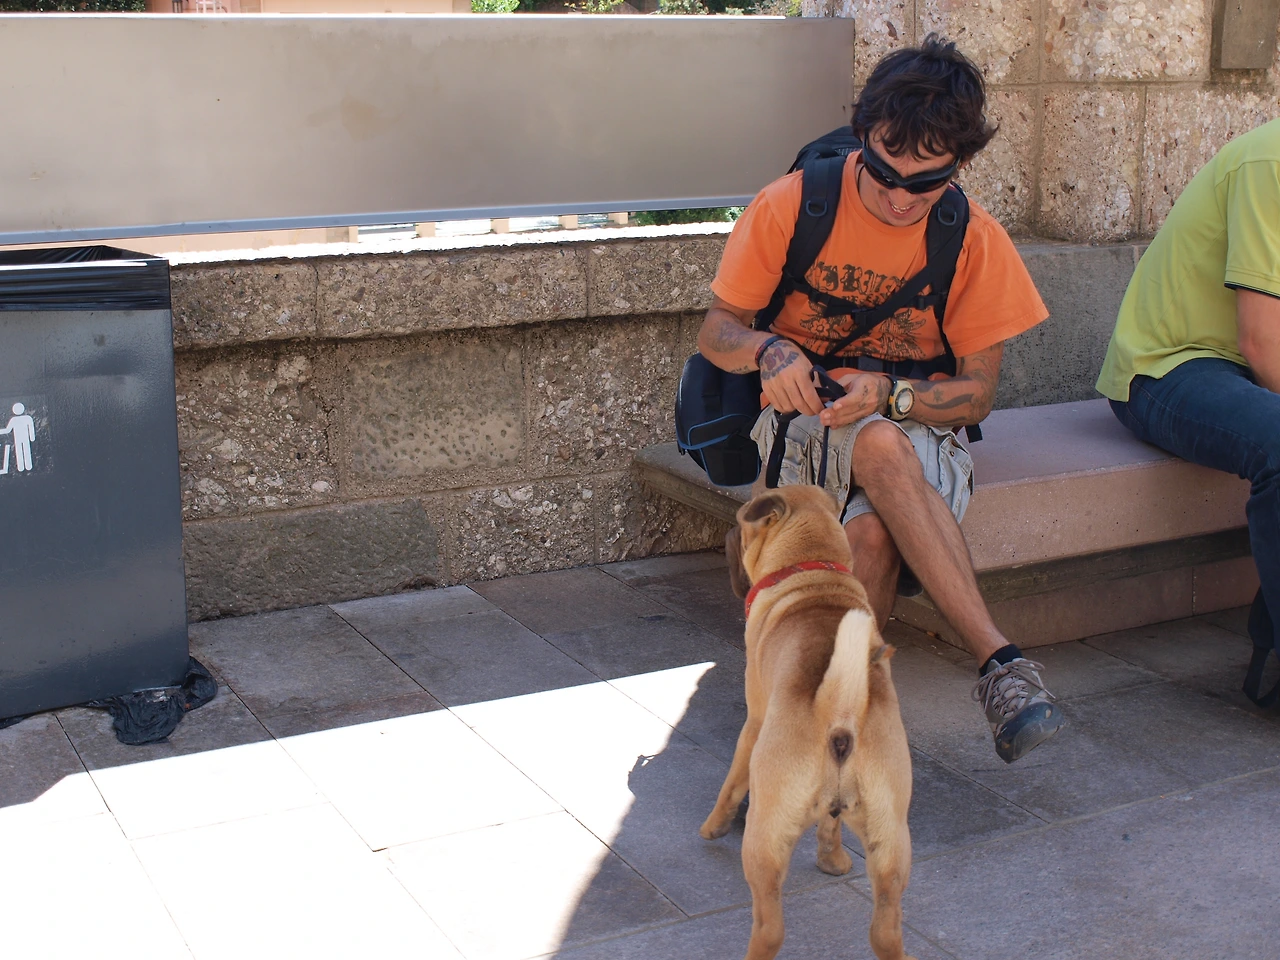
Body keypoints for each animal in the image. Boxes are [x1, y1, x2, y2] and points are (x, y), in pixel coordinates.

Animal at [699, 485, 916, 960]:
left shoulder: (754, 721)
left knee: (770, 926)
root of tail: (840, 710)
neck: (815, 568)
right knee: (886, 929)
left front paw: (714, 825)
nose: (729, 533)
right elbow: (829, 826)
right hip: (890, 838)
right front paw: (832, 860)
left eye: (742, 525)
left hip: (765, 837)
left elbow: (731, 783)